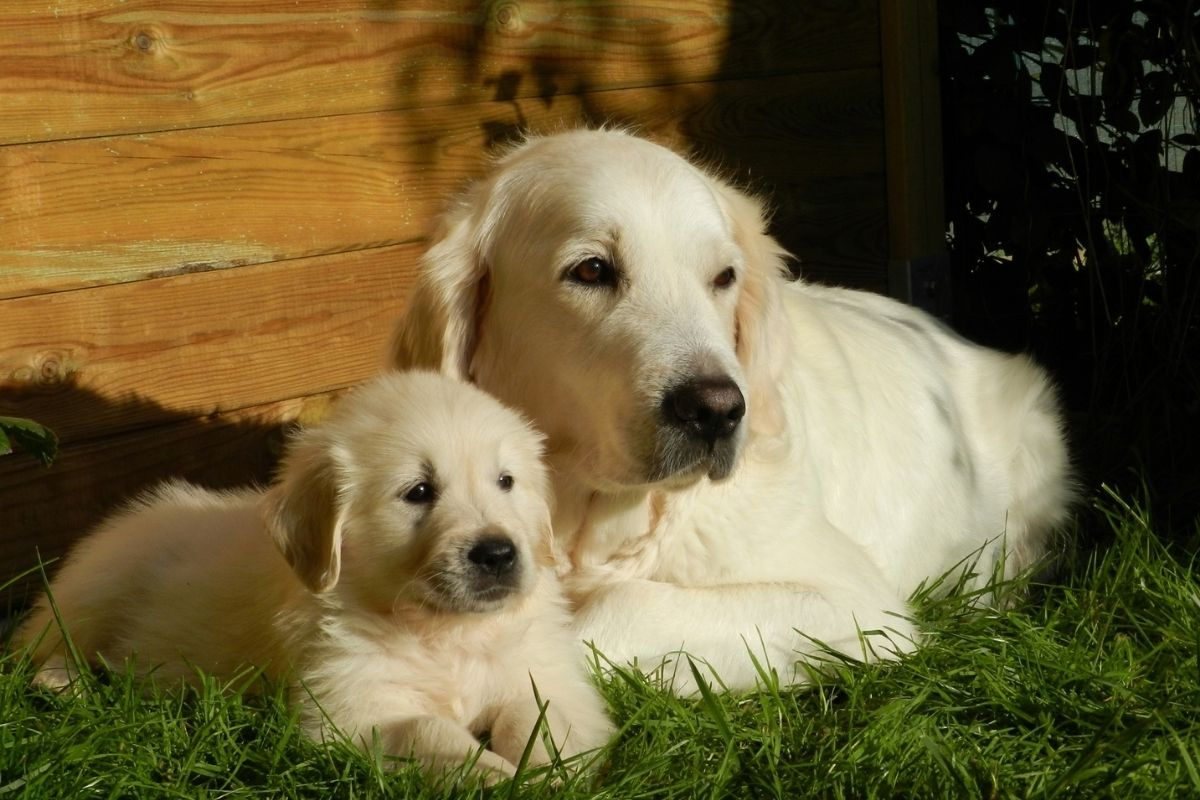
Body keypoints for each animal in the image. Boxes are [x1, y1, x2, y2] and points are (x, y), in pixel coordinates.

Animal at [16, 374, 619, 782]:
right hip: (96, 586)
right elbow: (430, 731)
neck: (442, 632)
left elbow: (541, 717)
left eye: (506, 482)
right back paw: (63, 682)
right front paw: (496, 775)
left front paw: (547, 772)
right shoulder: (347, 711)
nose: (497, 553)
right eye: (419, 491)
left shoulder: (547, 674)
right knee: (38, 646)